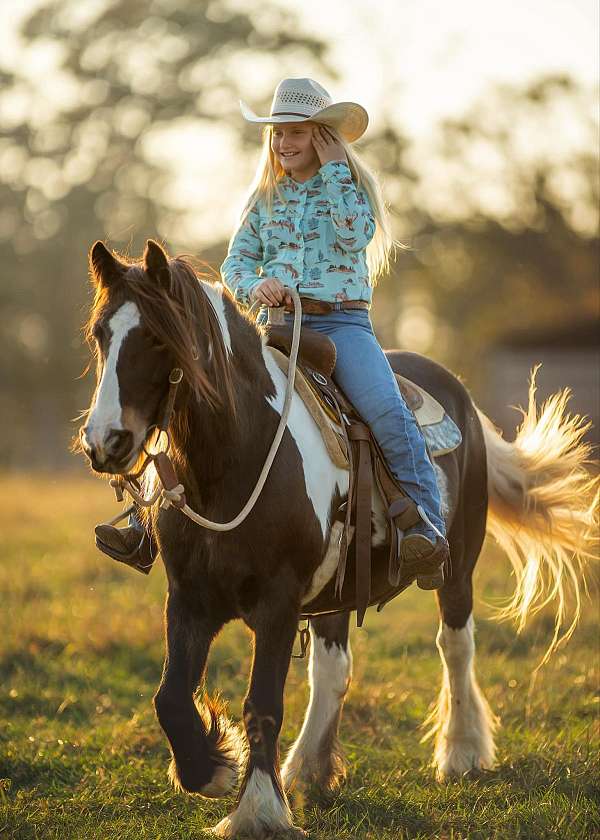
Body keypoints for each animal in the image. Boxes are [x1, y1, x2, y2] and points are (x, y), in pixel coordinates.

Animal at [78, 238, 596, 840]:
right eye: (101, 334)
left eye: (159, 337)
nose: (105, 442)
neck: (237, 458)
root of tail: (458, 392)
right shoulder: (188, 598)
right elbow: (170, 697)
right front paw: (211, 767)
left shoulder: (277, 602)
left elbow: (262, 703)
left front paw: (257, 809)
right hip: (337, 590)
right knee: (333, 668)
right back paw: (309, 768)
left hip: (457, 567)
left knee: (455, 646)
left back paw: (462, 752)